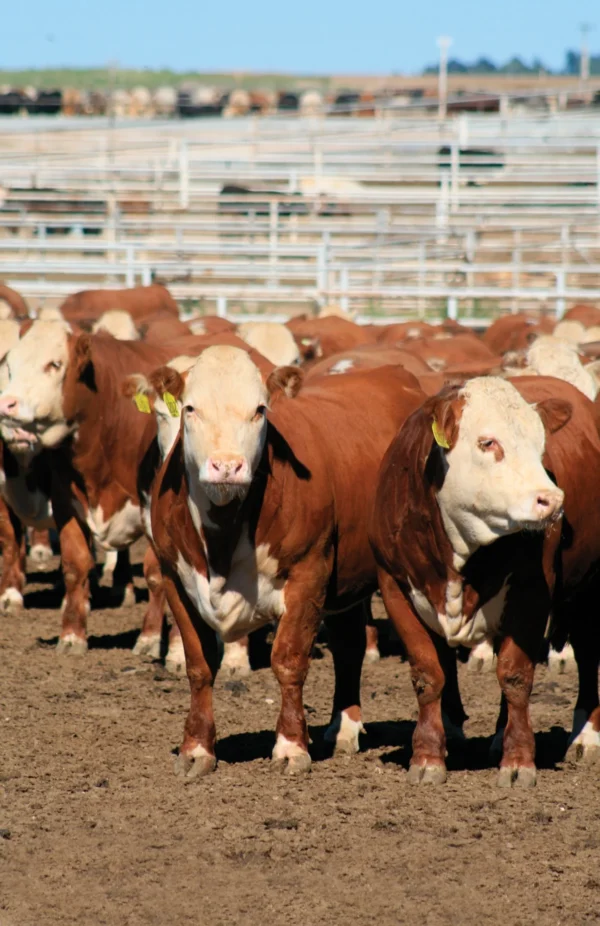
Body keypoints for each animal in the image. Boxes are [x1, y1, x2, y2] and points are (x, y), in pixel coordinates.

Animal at [148, 345, 426, 778]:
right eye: (190, 408)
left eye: (260, 410)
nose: (227, 466)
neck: (223, 534)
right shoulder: (175, 577)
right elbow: (199, 665)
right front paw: (196, 748)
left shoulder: (309, 574)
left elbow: (289, 661)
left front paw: (291, 745)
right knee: (349, 645)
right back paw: (344, 729)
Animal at [370, 375, 600, 788]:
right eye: (488, 442)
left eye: (541, 445)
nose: (551, 499)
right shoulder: (394, 585)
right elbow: (429, 674)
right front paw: (428, 756)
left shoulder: (531, 590)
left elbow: (515, 675)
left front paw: (519, 761)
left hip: (588, 588)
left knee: (588, 655)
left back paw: (586, 738)